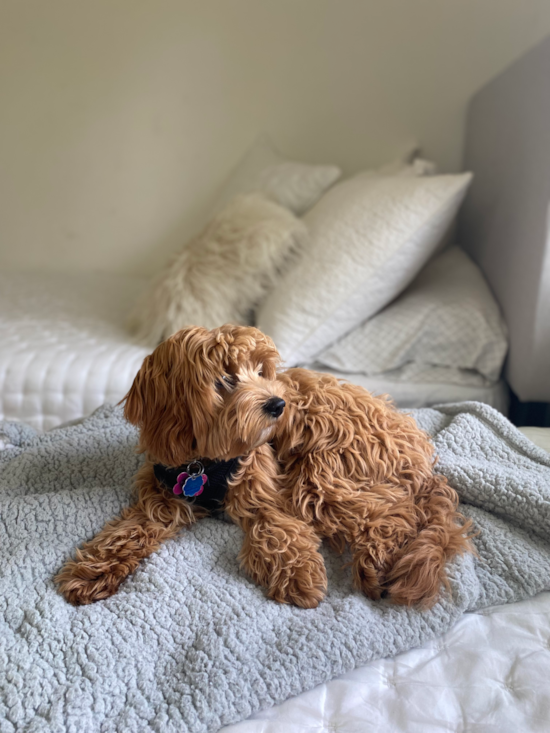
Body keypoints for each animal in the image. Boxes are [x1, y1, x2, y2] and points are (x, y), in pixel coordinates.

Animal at [56, 324, 472, 608]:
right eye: (224, 379)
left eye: (261, 371)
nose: (278, 404)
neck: (205, 462)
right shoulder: (161, 494)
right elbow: (127, 531)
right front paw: (92, 569)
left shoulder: (266, 492)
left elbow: (277, 530)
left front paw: (299, 575)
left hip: (321, 473)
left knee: (395, 513)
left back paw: (376, 563)